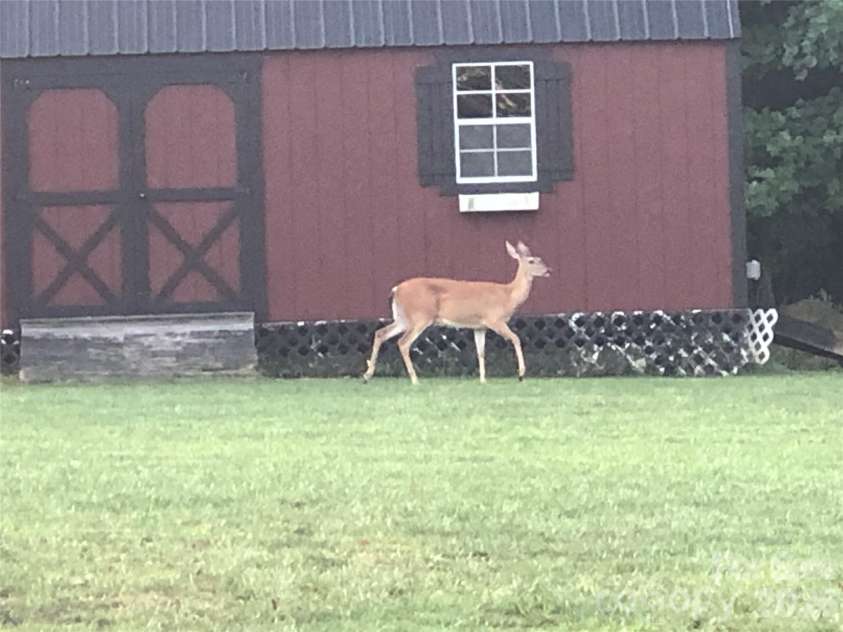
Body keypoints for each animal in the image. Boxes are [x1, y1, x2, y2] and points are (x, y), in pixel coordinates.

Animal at [362, 240, 550, 385]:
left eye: (540, 259)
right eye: (532, 261)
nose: (549, 270)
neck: (508, 295)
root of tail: (395, 290)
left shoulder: (479, 326)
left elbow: (480, 352)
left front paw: (483, 380)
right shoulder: (494, 319)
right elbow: (516, 339)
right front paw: (521, 374)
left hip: (403, 318)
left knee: (380, 333)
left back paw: (367, 376)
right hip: (420, 316)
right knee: (403, 342)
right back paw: (415, 380)